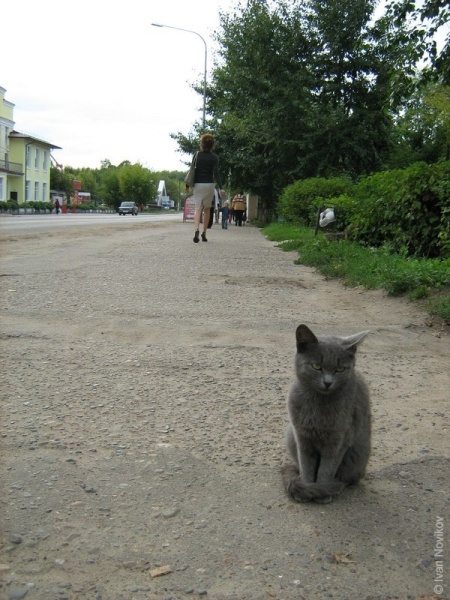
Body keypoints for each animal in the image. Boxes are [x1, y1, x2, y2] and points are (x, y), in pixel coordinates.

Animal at [284, 324, 370, 502]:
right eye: (317, 366)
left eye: (340, 369)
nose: (328, 382)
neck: (317, 405)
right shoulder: (301, 437)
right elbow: (306, 466)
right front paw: (308, 489)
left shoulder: (339, 440)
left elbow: (326, 469)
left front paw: (321, 492)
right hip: (289, 435)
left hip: (357, 456)